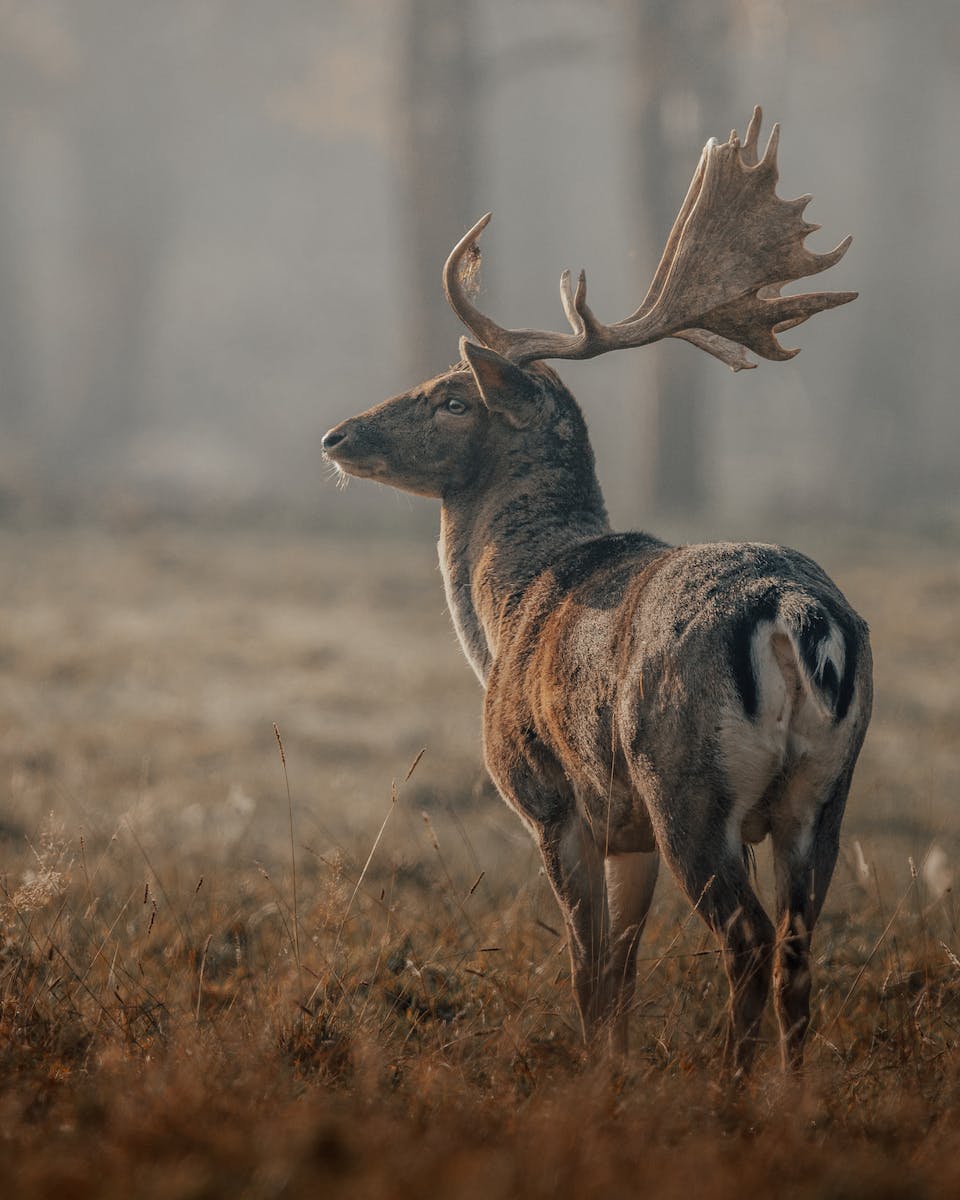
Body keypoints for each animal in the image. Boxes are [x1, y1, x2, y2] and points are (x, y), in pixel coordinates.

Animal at [321, 108, 868, 1075]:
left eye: (453, 398)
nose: (338, 434)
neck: (509, 611)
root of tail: (799, 615)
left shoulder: (553, 798)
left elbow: (585, 970)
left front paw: (591, 1082)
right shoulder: (628, 831)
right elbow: (621, 971)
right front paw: (612, 1072)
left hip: (687, 783)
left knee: (747, 940)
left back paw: (731, 1093)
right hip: (823, 794)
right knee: (800, 952)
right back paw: (790, 1096)